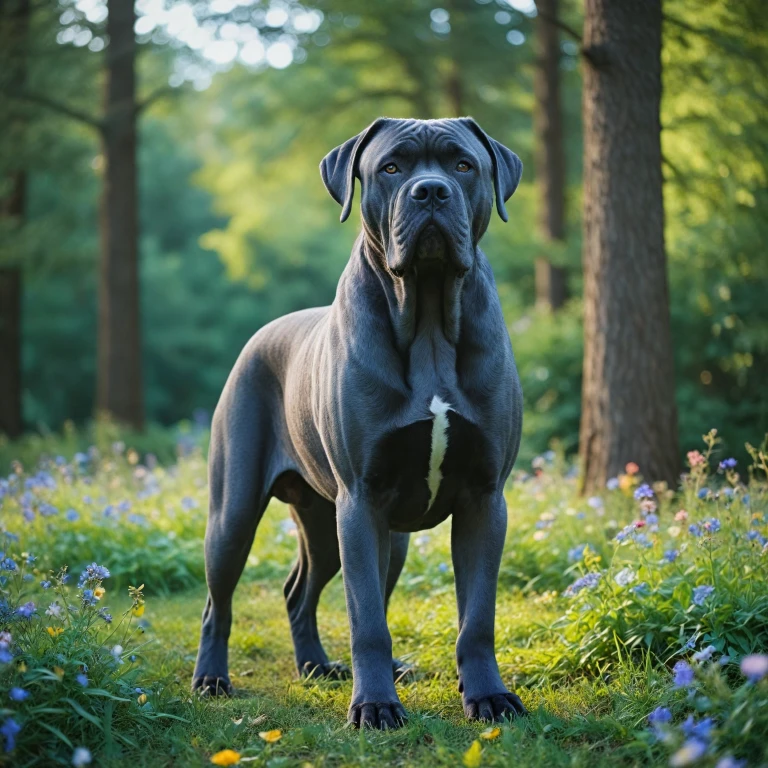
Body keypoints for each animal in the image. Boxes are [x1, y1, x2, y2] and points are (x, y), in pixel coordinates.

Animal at [192, 117, 528, 728]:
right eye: (391, 167)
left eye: (463, 165)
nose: (431, 192)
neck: (427, 315)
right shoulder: (361, 498)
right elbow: (367, 618)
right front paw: (374, 706)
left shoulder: (483, 497)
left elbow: (477, 619)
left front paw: (489, 696)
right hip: (236, 513)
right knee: (218, 602)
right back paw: (212, 678)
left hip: (348, 528)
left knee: (299, 591)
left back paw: (317, 666)